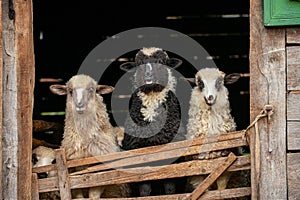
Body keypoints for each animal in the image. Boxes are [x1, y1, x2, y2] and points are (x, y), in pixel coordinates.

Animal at [119, 47, 185, 197]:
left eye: (160, 62)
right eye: (139, 64)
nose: (148, 76)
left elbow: (170, 187)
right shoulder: (138, 152)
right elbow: (144, 187)